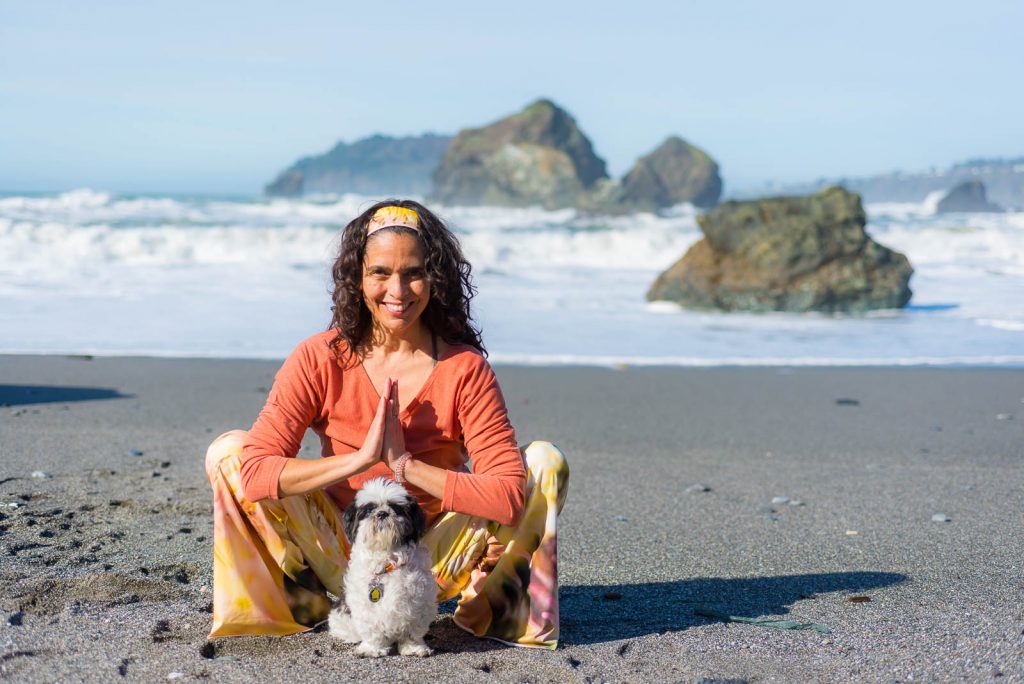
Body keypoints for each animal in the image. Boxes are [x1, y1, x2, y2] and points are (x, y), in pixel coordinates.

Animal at [328, 478, 436, 657]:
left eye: (396, 508)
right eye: (369, 509)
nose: (382, 513)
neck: (387, 560)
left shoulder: (419, 600)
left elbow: (413, 630)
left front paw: (413, 647)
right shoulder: (365, 605)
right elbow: (372, 628)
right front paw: (372, 648)